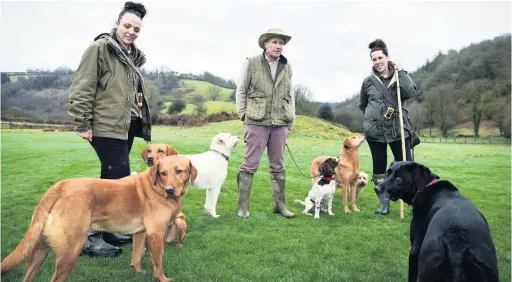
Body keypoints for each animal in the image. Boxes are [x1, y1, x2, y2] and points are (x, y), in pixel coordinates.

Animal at [1, 155, 197, 280]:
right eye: (163, 173)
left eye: (179, 171)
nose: (169, 190)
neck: (157, 187)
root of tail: (59, 186)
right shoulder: (156, 234)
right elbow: (158, 262)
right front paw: (162, 278)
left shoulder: (141, 233)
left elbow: (136, 257)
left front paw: (138, 272)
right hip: (69, 254)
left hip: (39, 253)